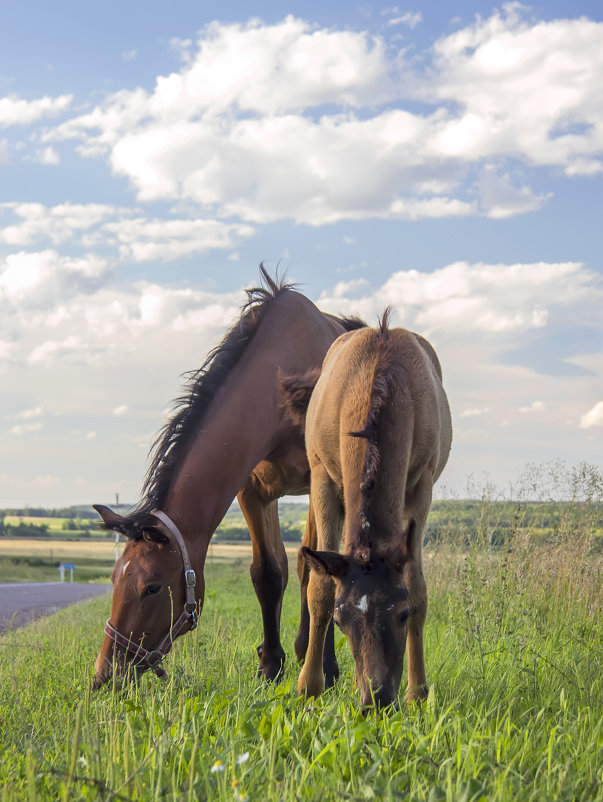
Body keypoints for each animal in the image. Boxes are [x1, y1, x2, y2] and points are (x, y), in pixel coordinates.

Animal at [92, 268, 366, 688]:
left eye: (152, 587)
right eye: (113, 579)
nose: (105, 673)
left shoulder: (325, 485)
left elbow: (318, 571)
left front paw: (326, 667)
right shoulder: (252, 490)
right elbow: (268, 573)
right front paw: (270, 664)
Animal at [280, 310, 450, 708]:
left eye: (402, 615)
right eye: (341, 621)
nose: (376, 699)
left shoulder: (421, 485)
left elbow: (417, 587)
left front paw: (417, 693)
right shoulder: (322, 477)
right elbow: (320, 587)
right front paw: (309, 685)